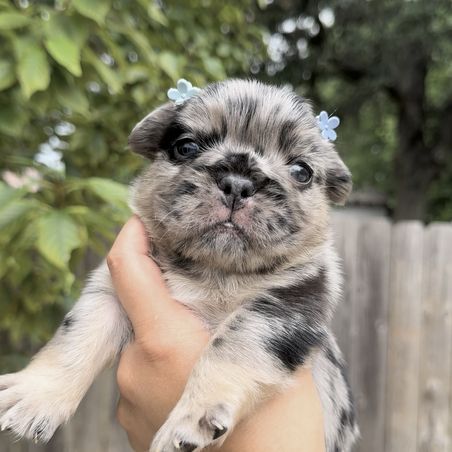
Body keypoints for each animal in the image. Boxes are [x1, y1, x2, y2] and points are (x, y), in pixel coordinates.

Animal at [0, 79, 358, 451]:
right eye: (185, 147)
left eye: (301, 171)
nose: (238, 183)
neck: (214, 271)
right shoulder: (109, 293)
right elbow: (78, 335)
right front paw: (37, 395)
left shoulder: (285, 305)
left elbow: (231, 345)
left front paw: (190, 418)